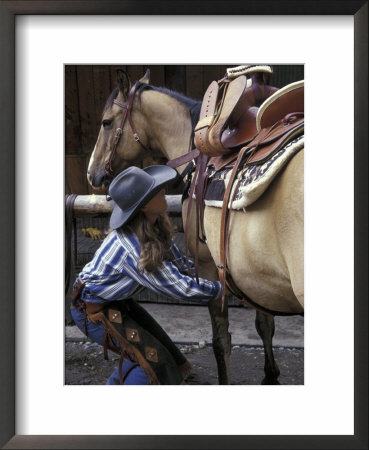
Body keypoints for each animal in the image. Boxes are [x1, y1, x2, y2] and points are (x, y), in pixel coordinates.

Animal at [87, 68, 304, 384]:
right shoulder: (258, 276)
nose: (91, 173)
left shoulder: (209, 267)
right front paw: (271, 376)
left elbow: (221, 342)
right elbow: (265, 325)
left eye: (106, 122)